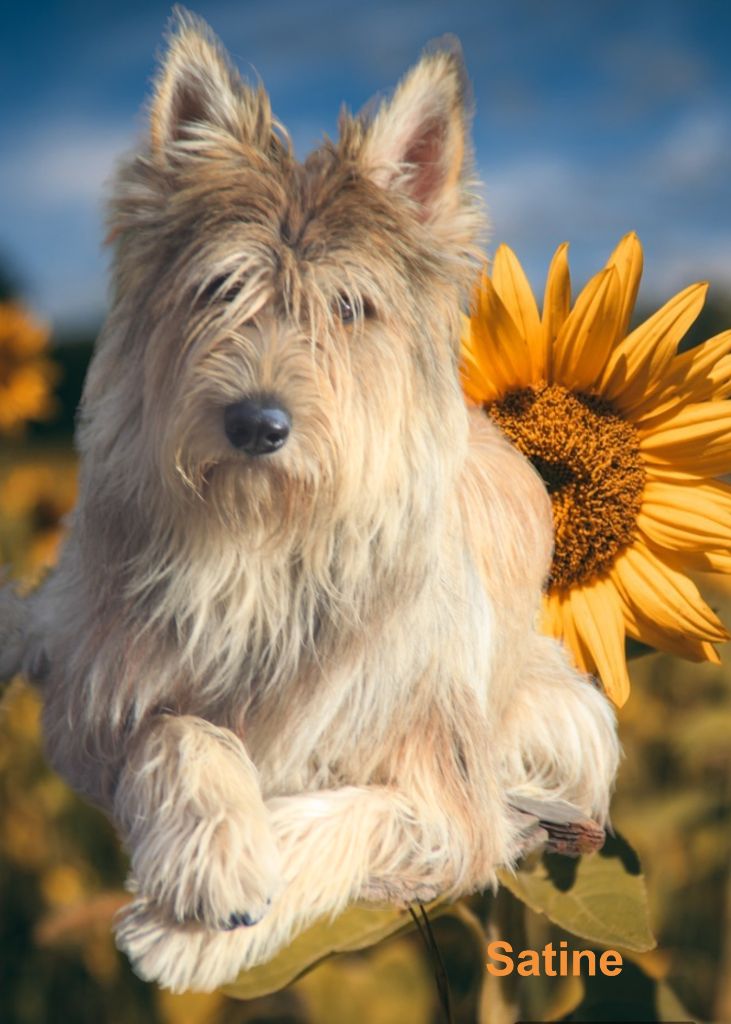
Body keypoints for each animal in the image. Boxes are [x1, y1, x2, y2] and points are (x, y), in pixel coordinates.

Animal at [0, 9, 614, 991]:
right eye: (220, 287)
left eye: (352, 306)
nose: (256, 423)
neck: (263, 544)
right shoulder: (94, 704)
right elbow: (177, 726)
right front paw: (215, 854)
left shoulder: (449, 788)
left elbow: (368, 810)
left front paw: (185, 931)